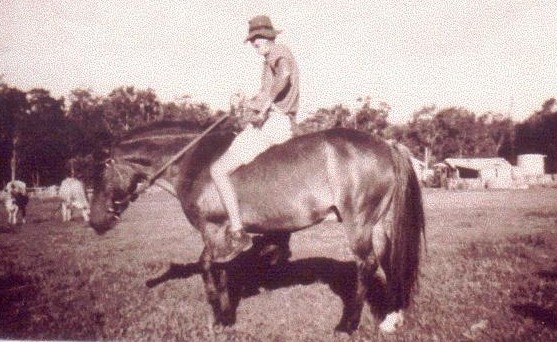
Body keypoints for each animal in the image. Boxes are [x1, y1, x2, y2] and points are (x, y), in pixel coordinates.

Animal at [89, 121, 424, 336]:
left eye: (98, 173)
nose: (94, 221)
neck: (195, 162)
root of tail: (386, 144)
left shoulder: (212, 229)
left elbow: (209, 267)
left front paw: (220, 318)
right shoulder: (220, 234)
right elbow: (220, 268)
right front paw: (226, 316)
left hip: (359, 222)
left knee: (367, 264)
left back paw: (347, 325)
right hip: (379, 224)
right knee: (389, 263)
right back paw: (392, 319)